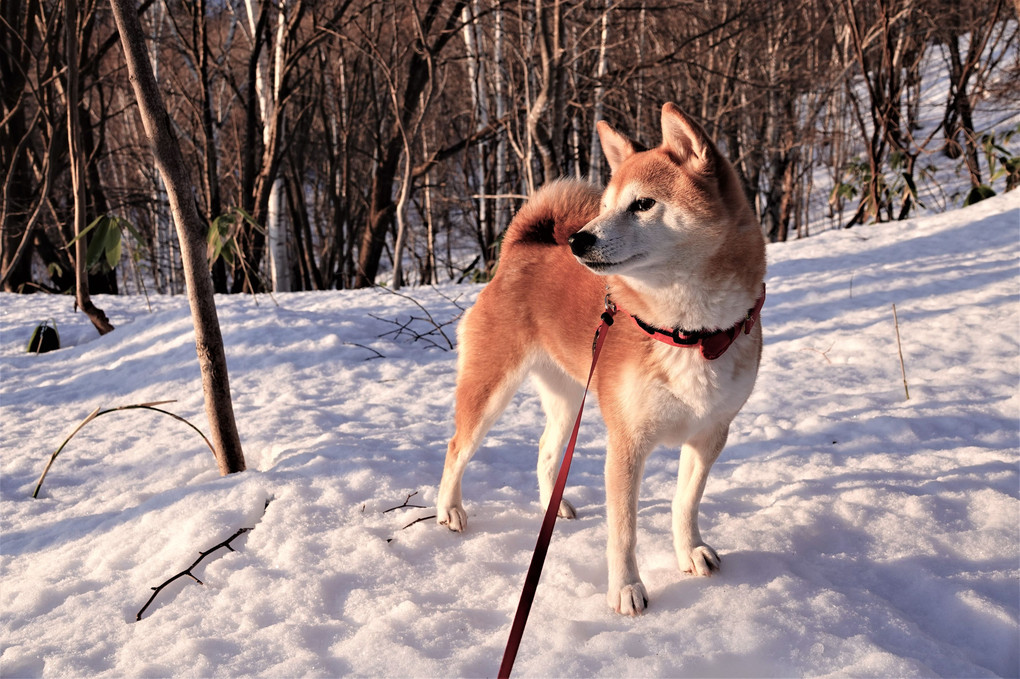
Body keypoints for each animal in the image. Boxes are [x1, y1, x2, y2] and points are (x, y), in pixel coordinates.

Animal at [438, 104, 767, 611]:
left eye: (643, 204)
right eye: (607, 205)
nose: (579, 241)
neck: (689, 333)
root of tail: (517, 251)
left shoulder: (710, 434)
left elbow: (685, 503)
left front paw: (689, 550)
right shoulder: (627, 443)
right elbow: (624, 530)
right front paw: (627, 588)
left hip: (568, 398)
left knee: (545, 449)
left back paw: (552, 507)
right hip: (489, 389)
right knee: (457, 448)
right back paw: (449, 510)